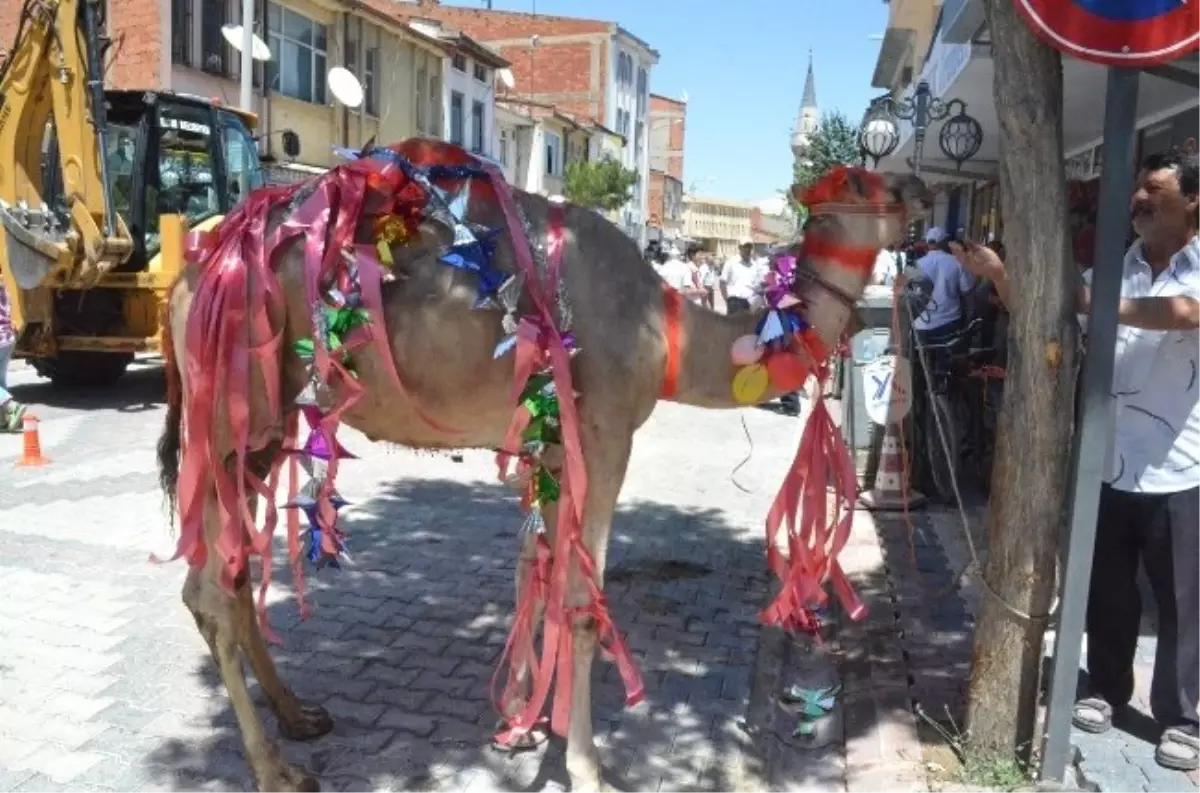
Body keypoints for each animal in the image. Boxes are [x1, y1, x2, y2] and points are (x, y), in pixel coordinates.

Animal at [154, 139, 931, 787]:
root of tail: (193, 272)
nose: (921, 187)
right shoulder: (603, 431)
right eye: (863, 181)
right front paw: (586, 765)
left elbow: (535, 564)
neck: (665, 329)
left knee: (231, 568)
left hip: (263, 423)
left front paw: (521, 723)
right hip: (231, 401)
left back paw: (299, 715)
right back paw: (275, 770)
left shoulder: (550, 437)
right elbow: (581, 600)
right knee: (209, 589)